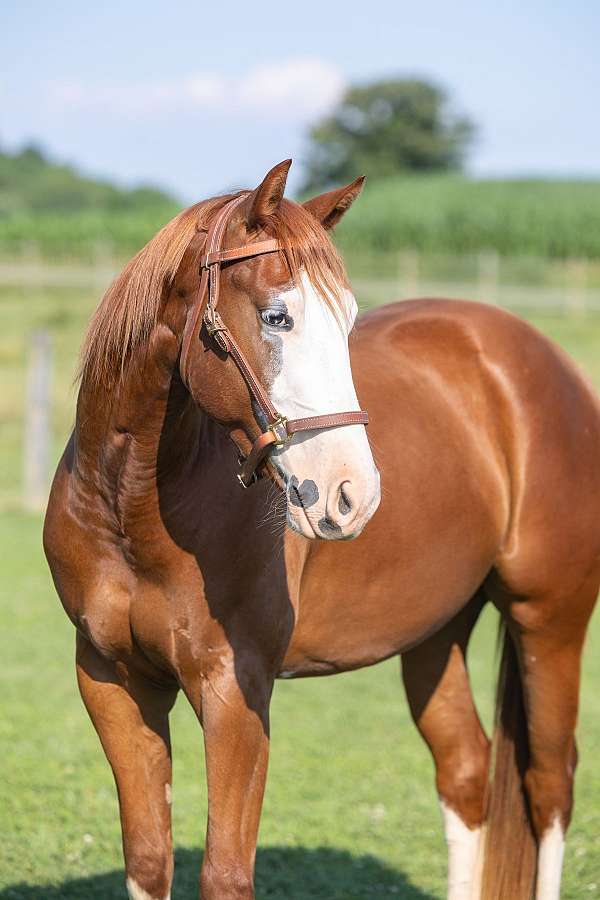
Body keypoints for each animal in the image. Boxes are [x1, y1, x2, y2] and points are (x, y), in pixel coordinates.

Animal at [43, 162, 600, 900]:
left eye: (349, 321)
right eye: (276, 316)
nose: (351, 494)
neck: (130, 509)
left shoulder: (236, 690)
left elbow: (225, 872)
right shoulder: (112, 681)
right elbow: (148, 857)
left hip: (549, 621)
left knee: (547, 786)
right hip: (436, 632)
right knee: (466, 772)